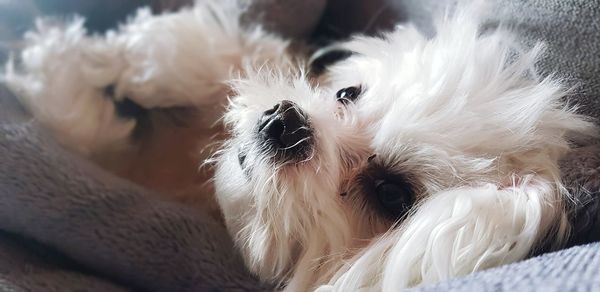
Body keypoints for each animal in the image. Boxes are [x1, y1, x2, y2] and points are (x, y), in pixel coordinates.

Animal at [3, 0, 596, 292]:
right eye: (348, 92)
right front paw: (135, 56)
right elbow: (232, 49)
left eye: (390, 193)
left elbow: (88, 136)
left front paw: (53, 66)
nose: (286, 124)